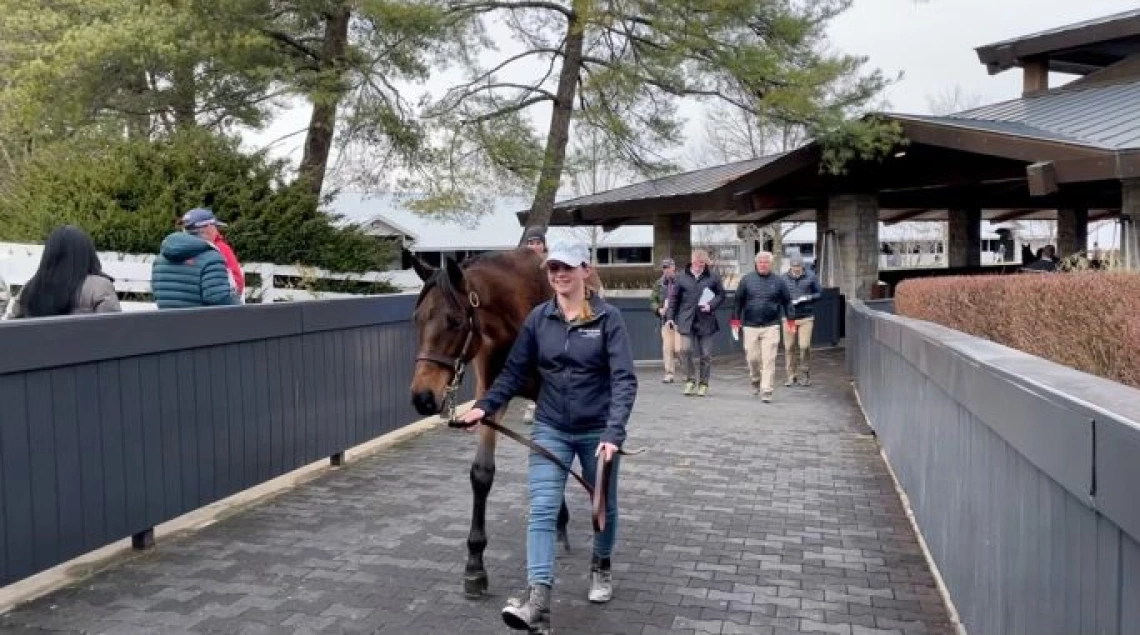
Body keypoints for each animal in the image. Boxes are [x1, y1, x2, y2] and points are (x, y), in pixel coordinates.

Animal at [408, 246, 574, 592]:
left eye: (455, 321)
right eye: (416, 319)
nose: (422, 397)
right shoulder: (489, 399)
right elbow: (482, 473)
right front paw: (474, 562)